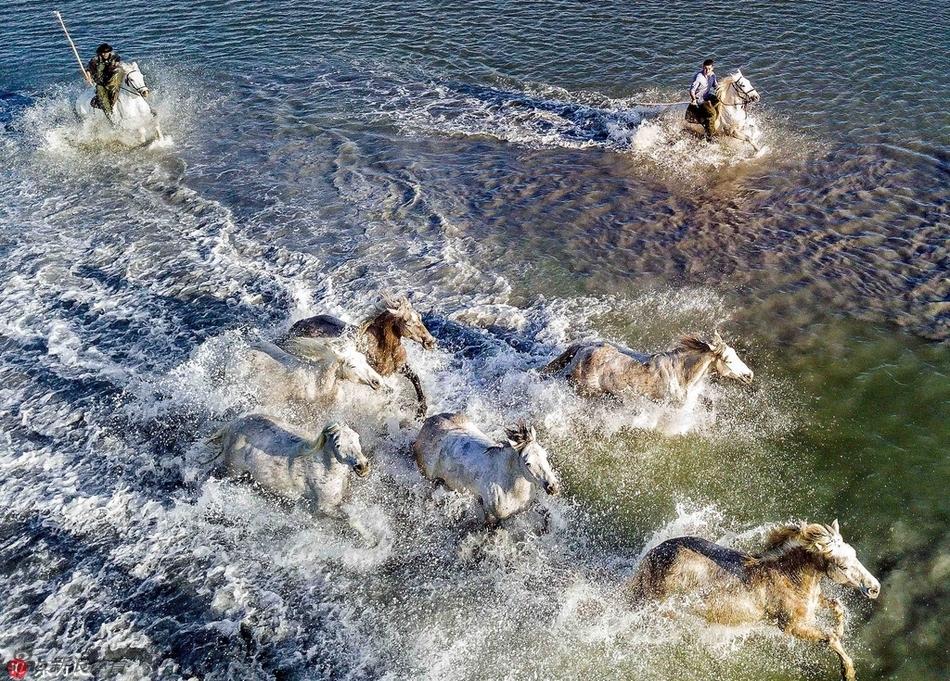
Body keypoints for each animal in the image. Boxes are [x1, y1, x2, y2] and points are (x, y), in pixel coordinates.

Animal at [278, 294, 436, 418]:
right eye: (408, 323)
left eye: (420, 318)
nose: (431, 342)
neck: (382, 349)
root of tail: (300, 323)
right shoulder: (376, 374)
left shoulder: (400, 368)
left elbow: (415, 379)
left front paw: (421, 412)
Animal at [628, 520, 880, 680]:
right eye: (843, 565)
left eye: (855, 554)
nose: (874, 588)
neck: (788, 576)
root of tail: (655, 553)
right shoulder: (791, 626)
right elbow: (830, 639)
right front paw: (848, 673)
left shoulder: (812, 605)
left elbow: (837, 608)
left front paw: (841, 630)